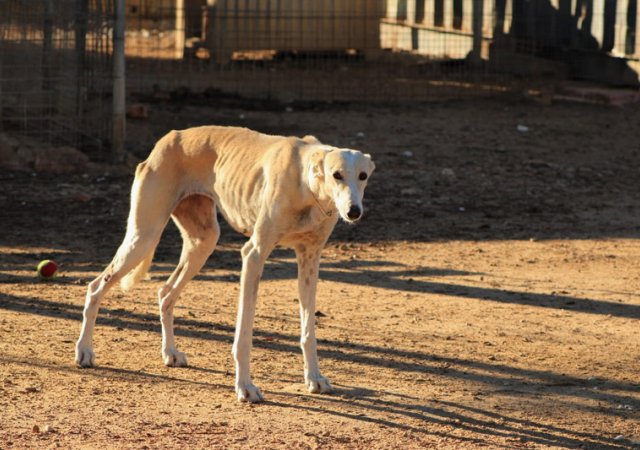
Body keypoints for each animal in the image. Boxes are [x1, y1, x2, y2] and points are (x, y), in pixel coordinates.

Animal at [75, 125, 376, 402]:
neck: (306, 182)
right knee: (95, 287)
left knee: (165, 293)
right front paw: (245, 387)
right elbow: (244, 335)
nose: (354, 212)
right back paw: (84, 352)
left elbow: (308, 330)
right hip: (143, 237)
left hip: (202, 243)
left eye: (363, 176)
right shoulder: (254, 254)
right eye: (337, 174)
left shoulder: (309, 258)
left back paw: (170, 352)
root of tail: (168, 138)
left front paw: (314, 378)